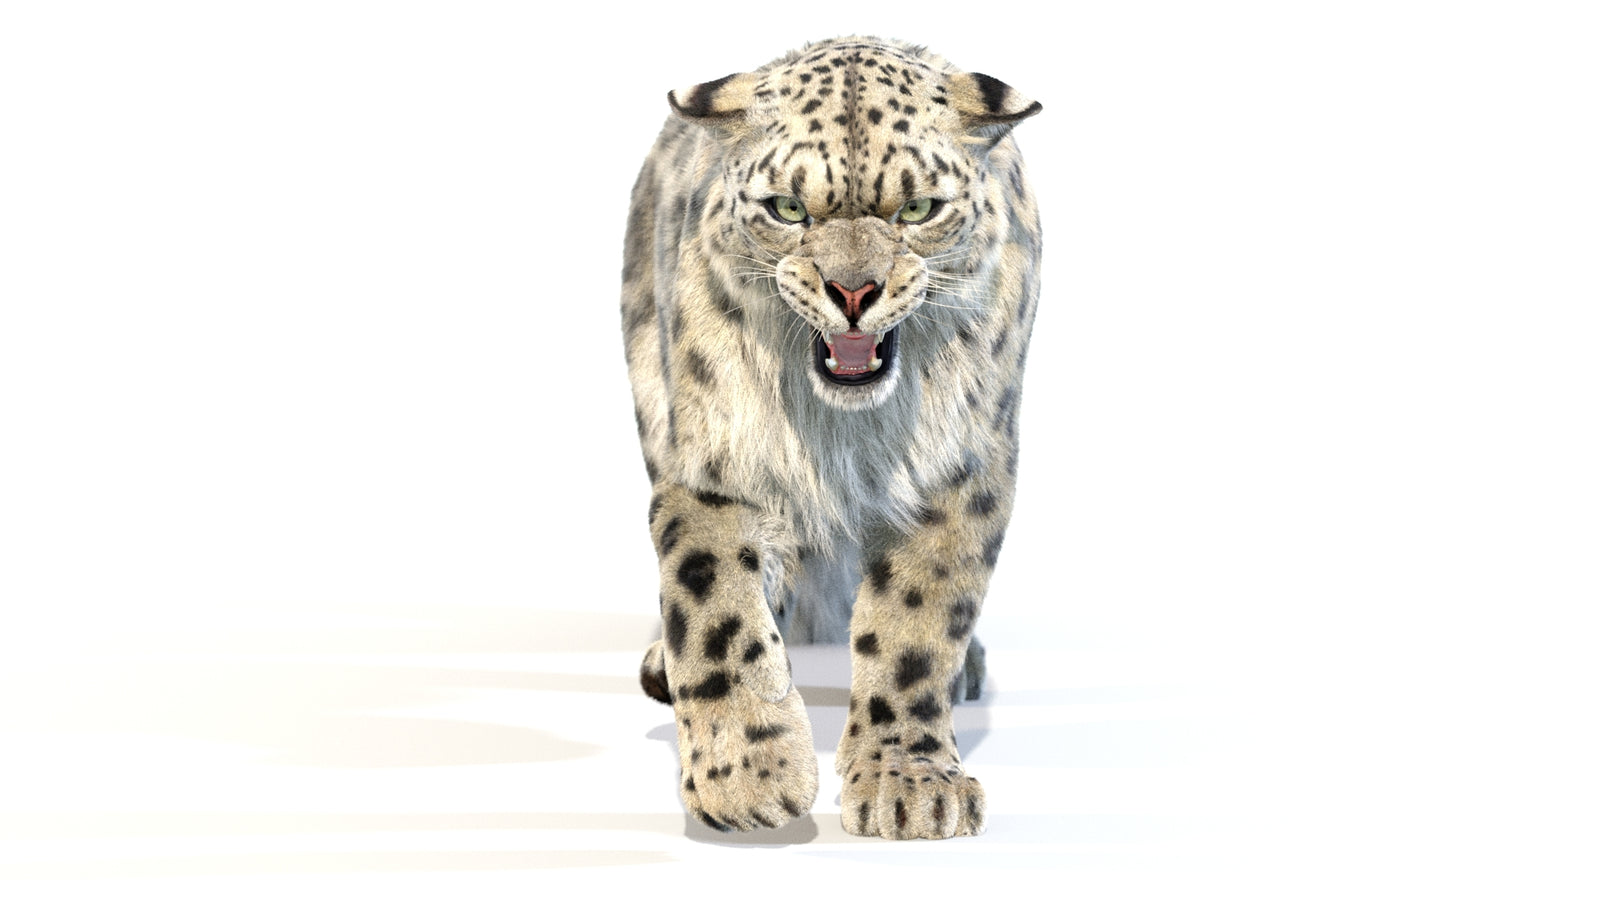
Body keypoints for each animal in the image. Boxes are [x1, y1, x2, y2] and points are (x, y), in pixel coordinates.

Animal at [620, 36, 1042, 840]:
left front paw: (910, 786)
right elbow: (717, 609)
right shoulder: (715, 464)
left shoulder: (957, 470)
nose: (852, 292)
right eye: (787, 209)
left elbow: (916, 625)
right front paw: (748, 778)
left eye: (918, 208)